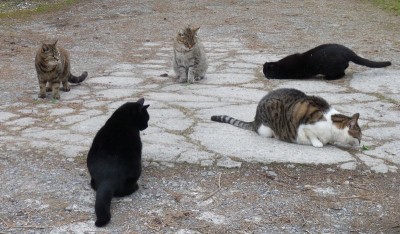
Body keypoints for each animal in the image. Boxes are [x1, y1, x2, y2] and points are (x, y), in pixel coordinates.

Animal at [86, 98, 149, 227]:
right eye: (146, 118)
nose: (147, 126)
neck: (122, 119)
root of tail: (108, 178)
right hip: (136, 170)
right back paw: (135, 187)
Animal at [211, 88, 360, 147]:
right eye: (359, 136)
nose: (360, 143)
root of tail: (255, 119)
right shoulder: (305, 127)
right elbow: (312, 136)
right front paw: (318, 143)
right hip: (269, 120)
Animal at [262, 43, 390, 80]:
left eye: (265, 71)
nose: (264, 74)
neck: (280, 65)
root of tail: (347, 51)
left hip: (330, 67)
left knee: (341, 73)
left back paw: (328, 78)